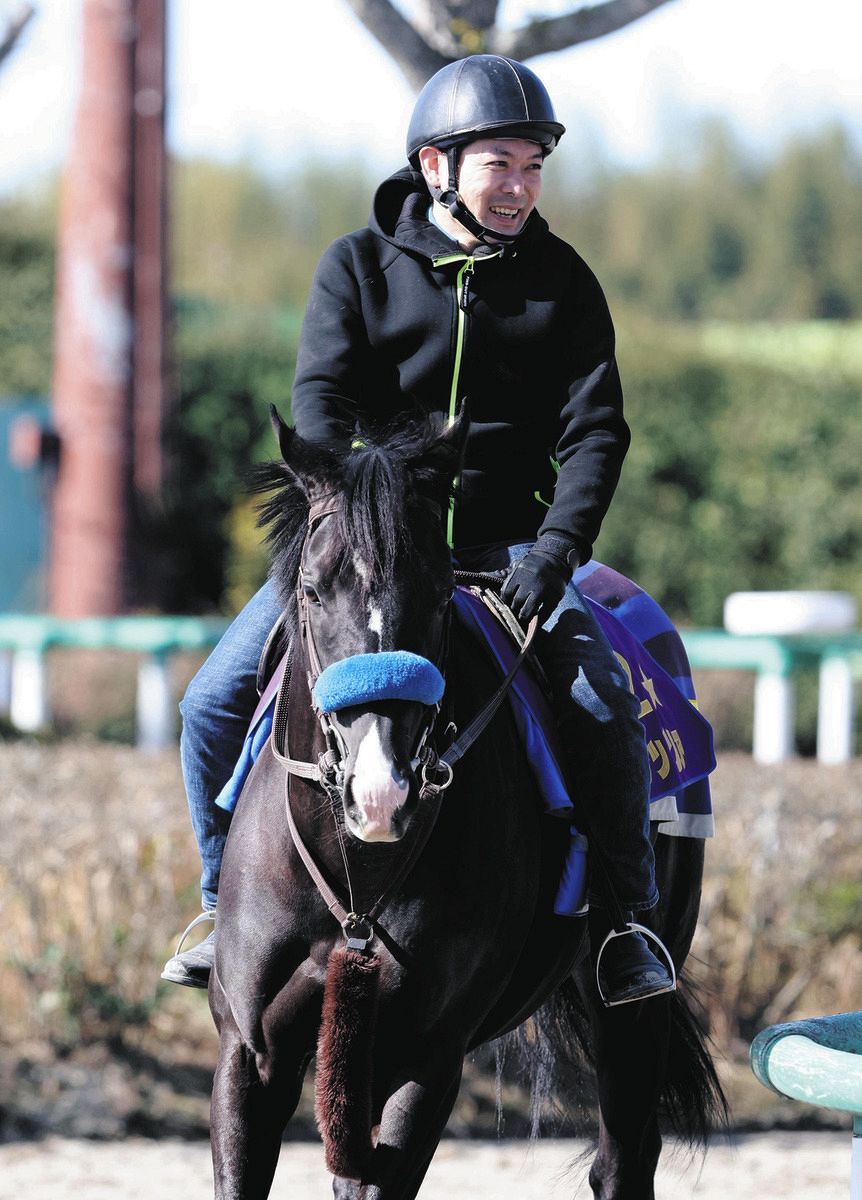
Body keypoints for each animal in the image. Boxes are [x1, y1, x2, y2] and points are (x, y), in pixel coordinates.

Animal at [208, 408, 729, 1195]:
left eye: (435, 592)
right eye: (313, 590)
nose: (381, 790)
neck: (358, 883)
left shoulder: (427, 1056)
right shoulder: (253, 1054)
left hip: (637, 1007)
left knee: (624, 1157)